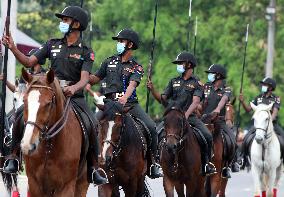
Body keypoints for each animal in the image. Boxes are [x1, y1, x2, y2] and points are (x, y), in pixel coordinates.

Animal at [20, 68, 89, 196]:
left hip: (82, 184)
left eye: (48, 103)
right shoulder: (34, 184)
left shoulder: (66, 186)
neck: (50, 147)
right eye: (24, 100)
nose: (28, 145)